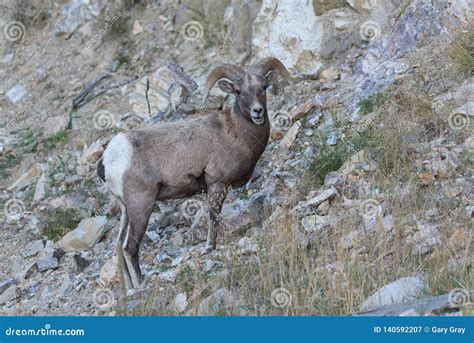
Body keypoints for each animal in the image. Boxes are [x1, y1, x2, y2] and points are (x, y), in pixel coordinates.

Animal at [97, 57, 290, 288]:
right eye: (238, 91)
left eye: (263, 87)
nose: (257, 112)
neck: (235, 131)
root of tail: (108, 158)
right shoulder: (216, 185)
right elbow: (213, 217)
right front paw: (209, 247)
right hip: (140, 206)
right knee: (130, 247)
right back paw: (141, 285)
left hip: (125, 210)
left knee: (118, 245)